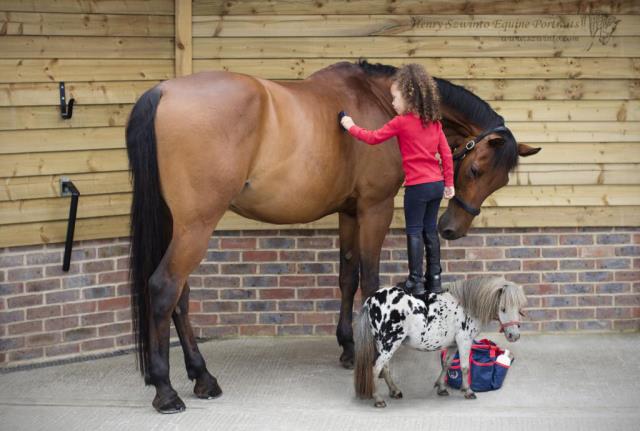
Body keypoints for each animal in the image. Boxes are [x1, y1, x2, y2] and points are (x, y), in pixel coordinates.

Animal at [356, 276, 524, 408]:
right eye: (502, 308)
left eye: (519, 308)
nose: (514, 336)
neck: (466, 306)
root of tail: (370, 301)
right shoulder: (464, 341)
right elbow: (465, 367)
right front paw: (468, 391)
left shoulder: (453, 345)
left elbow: (447, 364)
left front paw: (441, 387)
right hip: (390, 344)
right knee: (376, 368)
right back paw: (378, 399)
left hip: (384, 345)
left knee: (385, 368)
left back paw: (395, 391)